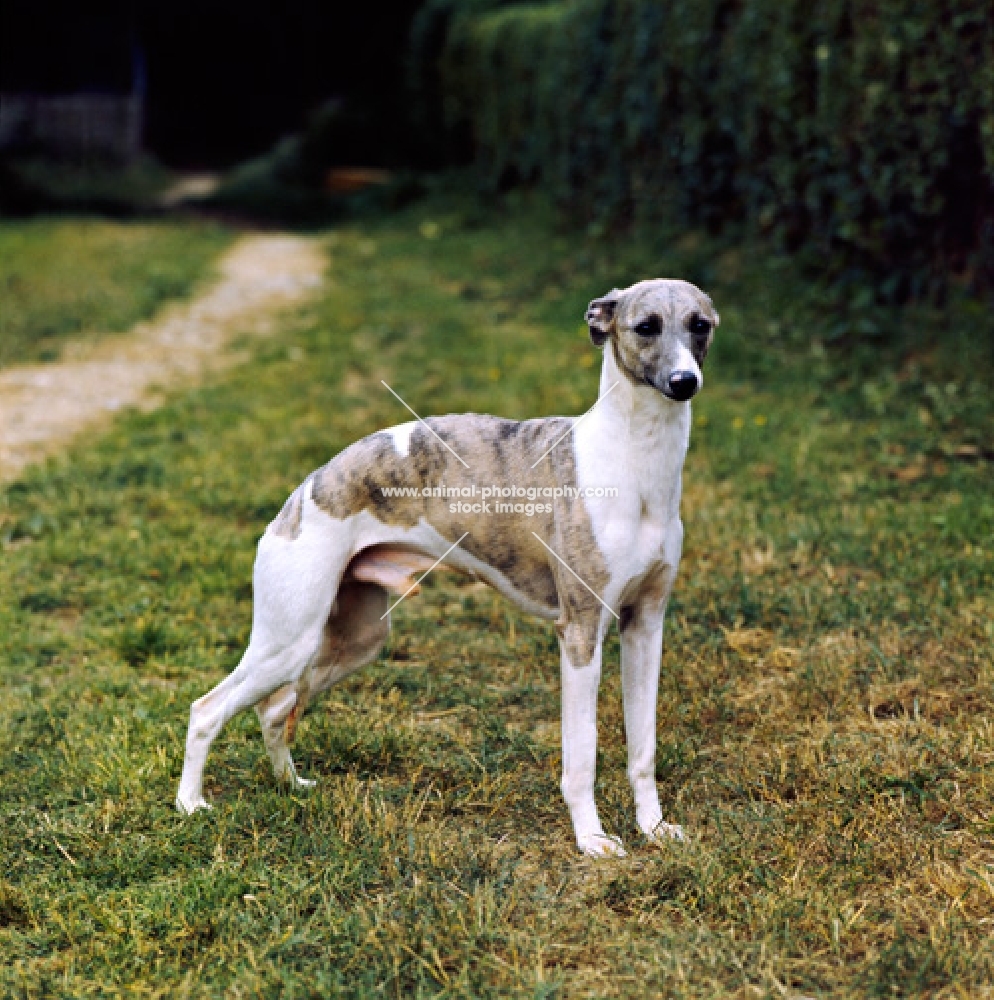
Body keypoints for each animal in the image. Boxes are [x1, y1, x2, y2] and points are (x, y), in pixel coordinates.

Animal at [176, 278, 712, 856]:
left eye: (700, 325)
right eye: (645, 326)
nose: (684, 382)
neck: (633, 462)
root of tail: (306, 489)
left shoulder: (646, 626)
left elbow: (643, 748)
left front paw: (654, 828)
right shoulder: (580, 632)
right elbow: (581, 757)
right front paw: (592, 840)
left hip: (356, 640)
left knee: (275, 710)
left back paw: (291, 786)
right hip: (288, 638)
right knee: (208, 708)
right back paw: (190, 804)